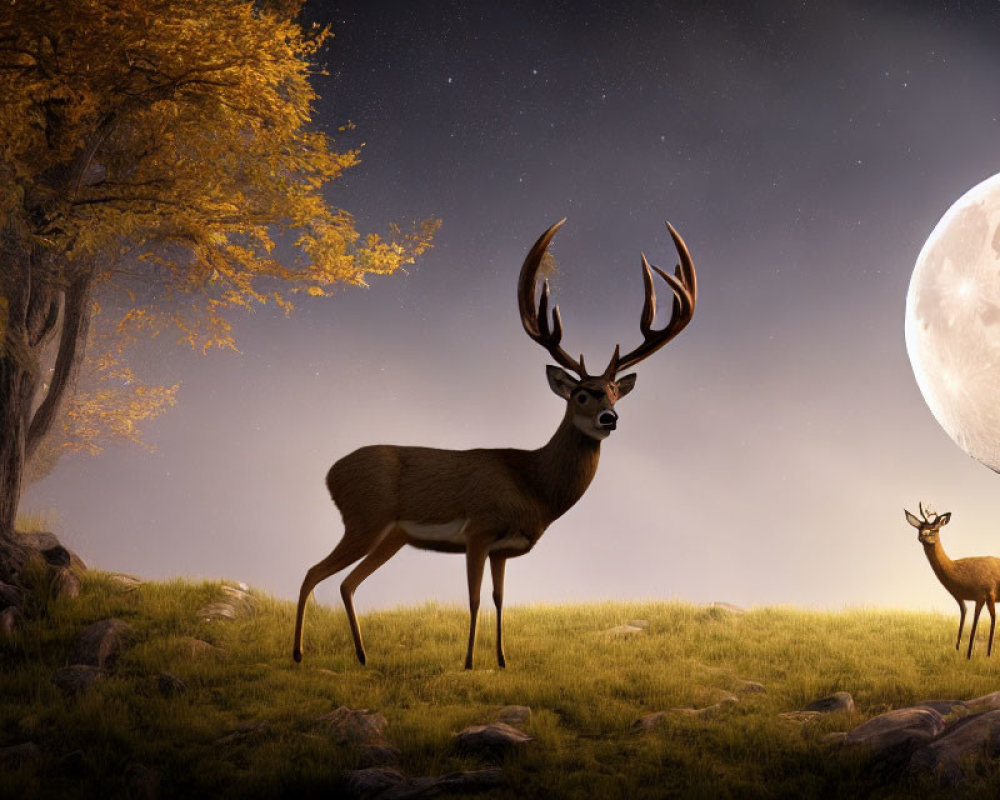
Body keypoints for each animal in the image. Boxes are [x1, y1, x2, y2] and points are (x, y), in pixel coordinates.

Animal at [292, 219, 700, 668]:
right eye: (581, 394)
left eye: (613, 392)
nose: (609, 418)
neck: (533, 485)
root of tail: (330, 472)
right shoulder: (478, 530)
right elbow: (472, 599)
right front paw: (470, 662)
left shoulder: (502, 549)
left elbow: (500, 598)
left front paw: (503, 660)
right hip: (364, 518)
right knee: (312, 572)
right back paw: (297, 653)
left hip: (392, 536)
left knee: (347, 583)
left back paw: (362, 656)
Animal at [904, 504, 1000, 660]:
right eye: (919, 528)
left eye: (934, 529)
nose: (922, 536)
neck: (959, 573)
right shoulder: (959, 596)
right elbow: (963, 615)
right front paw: (957, 650)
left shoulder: (984, 594)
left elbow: (979, 622)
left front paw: (973, 655)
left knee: (993, 618)